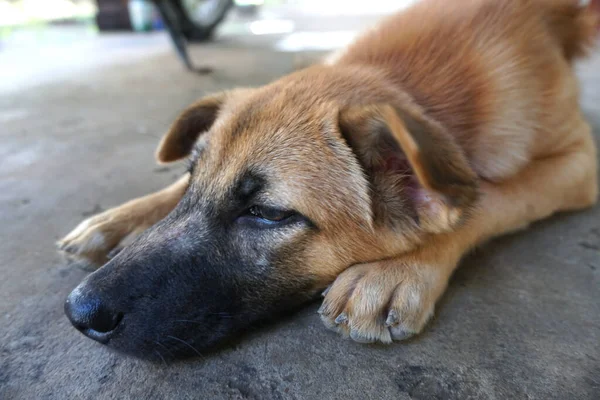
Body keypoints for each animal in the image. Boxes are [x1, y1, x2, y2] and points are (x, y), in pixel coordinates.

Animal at [58, 0, 596, 360]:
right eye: (192, 181)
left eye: (268, 213)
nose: (78, 313)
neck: (412, 87)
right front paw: (118, 219)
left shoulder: (578, 163)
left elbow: (489, 198)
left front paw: (397, 269)